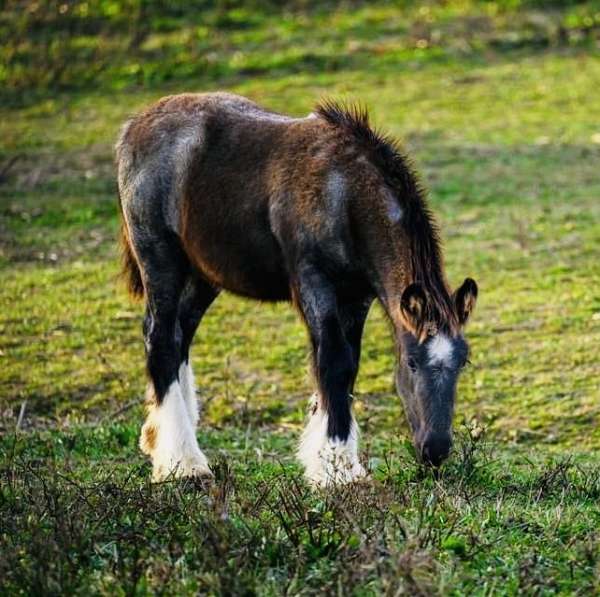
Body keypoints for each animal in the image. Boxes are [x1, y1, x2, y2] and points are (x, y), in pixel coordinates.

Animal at [115, 92, 476, 484]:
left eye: (462, 362)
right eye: (411, 362)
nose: (435, 450)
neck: (343, 194)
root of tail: (133, 126)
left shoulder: (356, 297)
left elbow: (347, 367)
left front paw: (332, 461)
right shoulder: (314, 282)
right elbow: (333, 362)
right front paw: (336, 468)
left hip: (203, 276)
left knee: (180, 336)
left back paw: (162, 442)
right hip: (161, 260)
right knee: (162, 339)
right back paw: (183, 463)